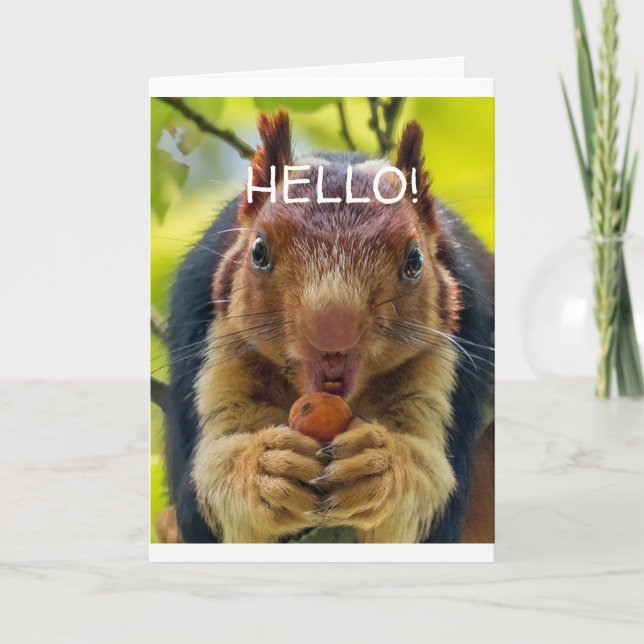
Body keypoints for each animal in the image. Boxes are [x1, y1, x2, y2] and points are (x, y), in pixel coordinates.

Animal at [163, 111, 494, 543]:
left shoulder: (452, 358)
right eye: (258, 251)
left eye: (415, 260)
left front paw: (381, 468)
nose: (332, 330)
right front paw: (263, 470)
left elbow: (431, 496)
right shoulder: (211, 340)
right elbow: (207, 493)